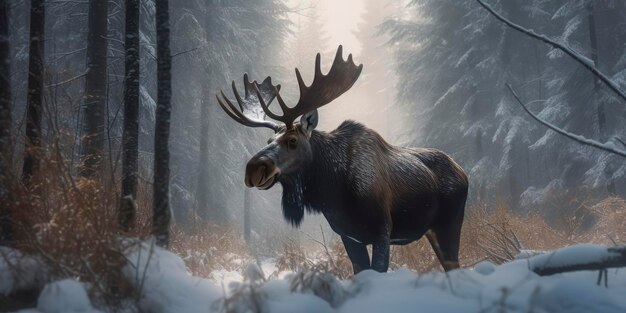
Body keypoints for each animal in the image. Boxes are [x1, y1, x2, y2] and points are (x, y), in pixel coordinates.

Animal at [214, 45, 464, 272]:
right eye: (268, 140)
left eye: (292, 140)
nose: (254, 169)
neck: (332, 190)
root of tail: (462, 171)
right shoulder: (349, 236)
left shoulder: (382, 231)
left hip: (449, 225)